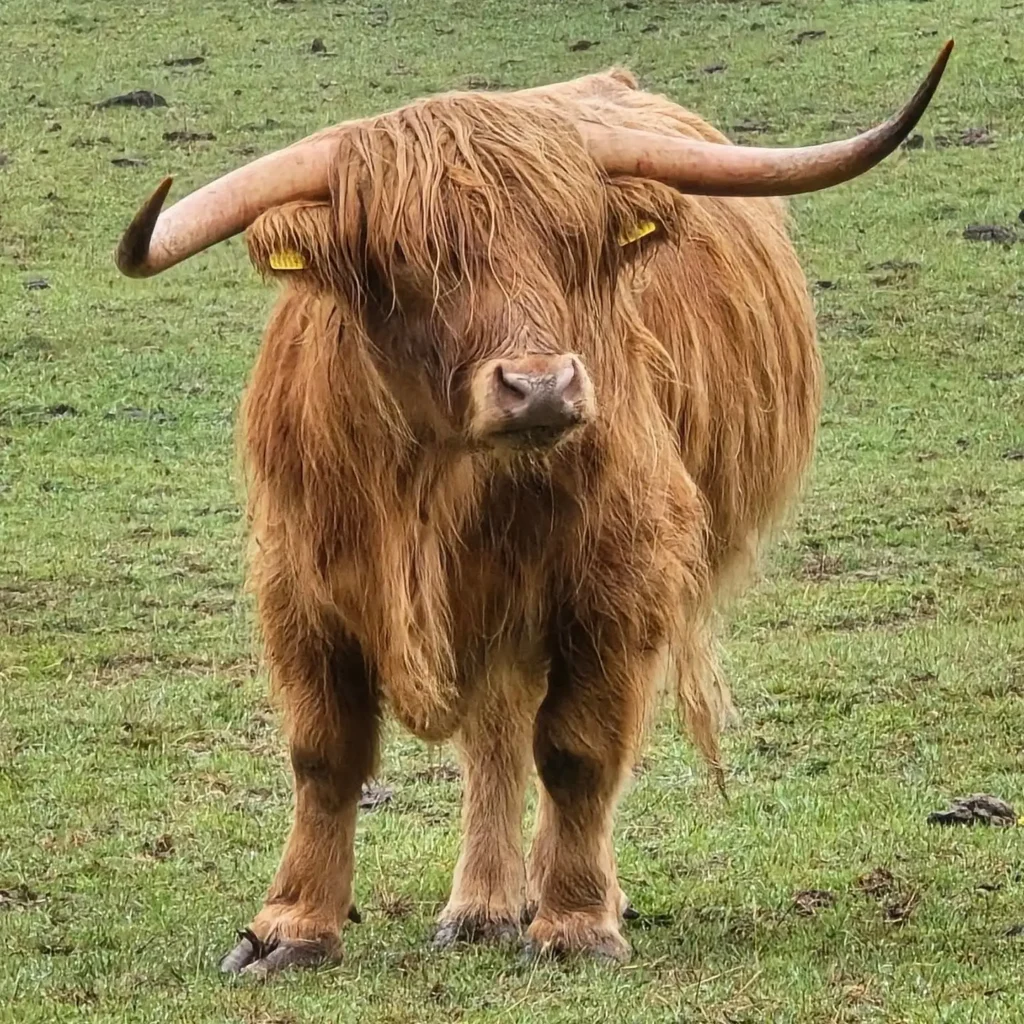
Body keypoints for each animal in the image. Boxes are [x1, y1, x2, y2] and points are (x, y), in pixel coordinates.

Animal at [114, 42, 952, 974]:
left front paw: (578, 923)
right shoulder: (300, 580)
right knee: (496, 735)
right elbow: (325, 752)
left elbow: (579, 749)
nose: (541, 386)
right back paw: (480, 906)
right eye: (408, 260)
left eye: (573, 246)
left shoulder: (618, 579)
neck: (438, 483)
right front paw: (289, 927)